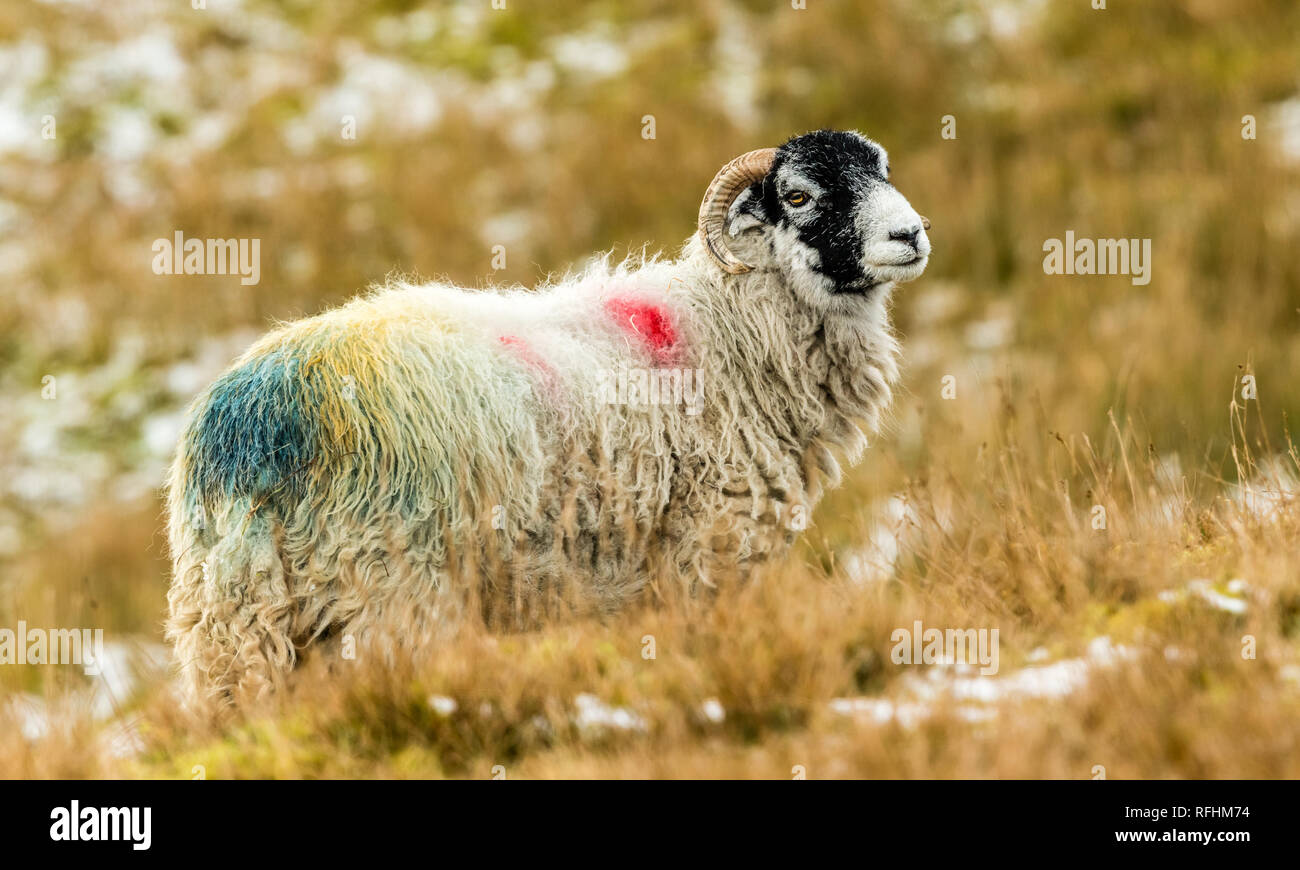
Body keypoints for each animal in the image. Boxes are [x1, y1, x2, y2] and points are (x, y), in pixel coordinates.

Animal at [165, 129, 931, 708]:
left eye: (882, 171)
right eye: (798, 195)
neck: (730, 328)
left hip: (233, 616)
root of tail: (255, 423)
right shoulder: (707, 548)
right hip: (393, 589)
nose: (911, 234)